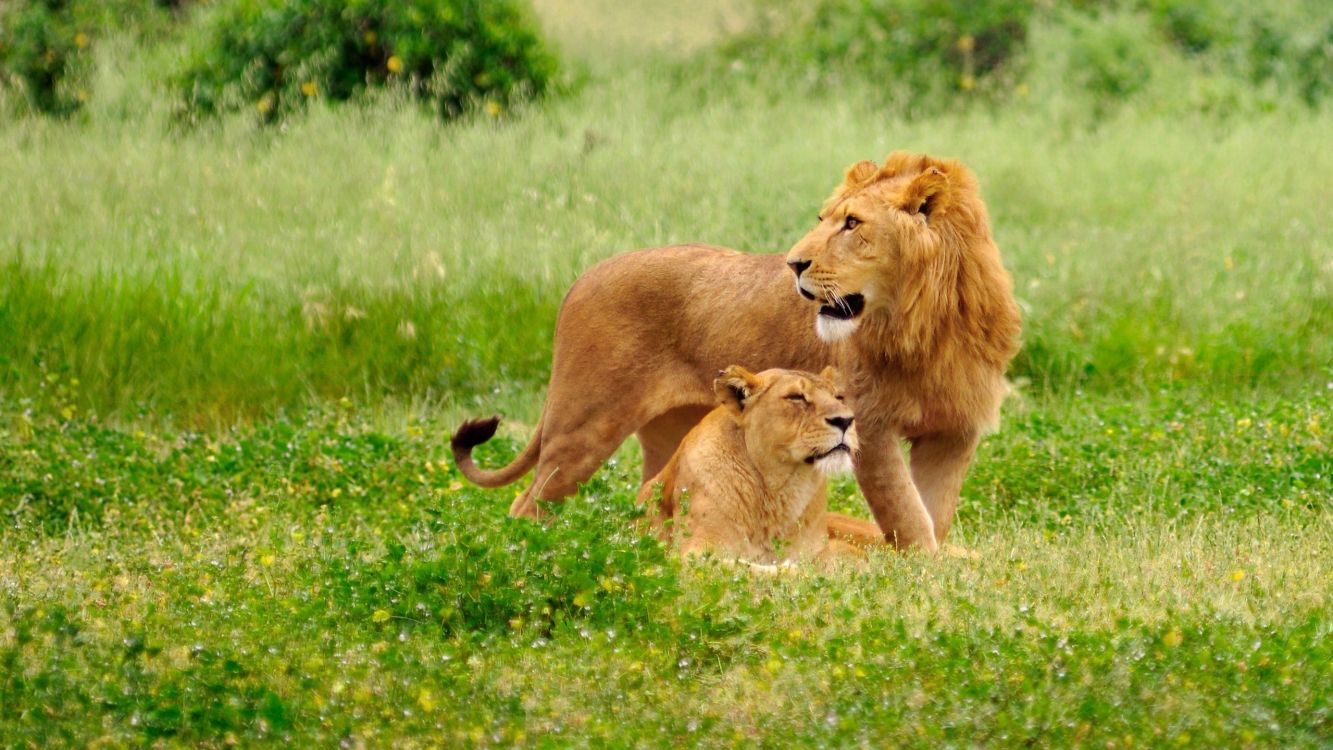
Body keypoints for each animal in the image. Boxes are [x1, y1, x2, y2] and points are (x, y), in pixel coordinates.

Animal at [637, 365, 879, 570]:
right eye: (796, 397)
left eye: (839, 397)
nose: (846, 420)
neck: (781, 489)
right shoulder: (695, 553)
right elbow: (745, 567)